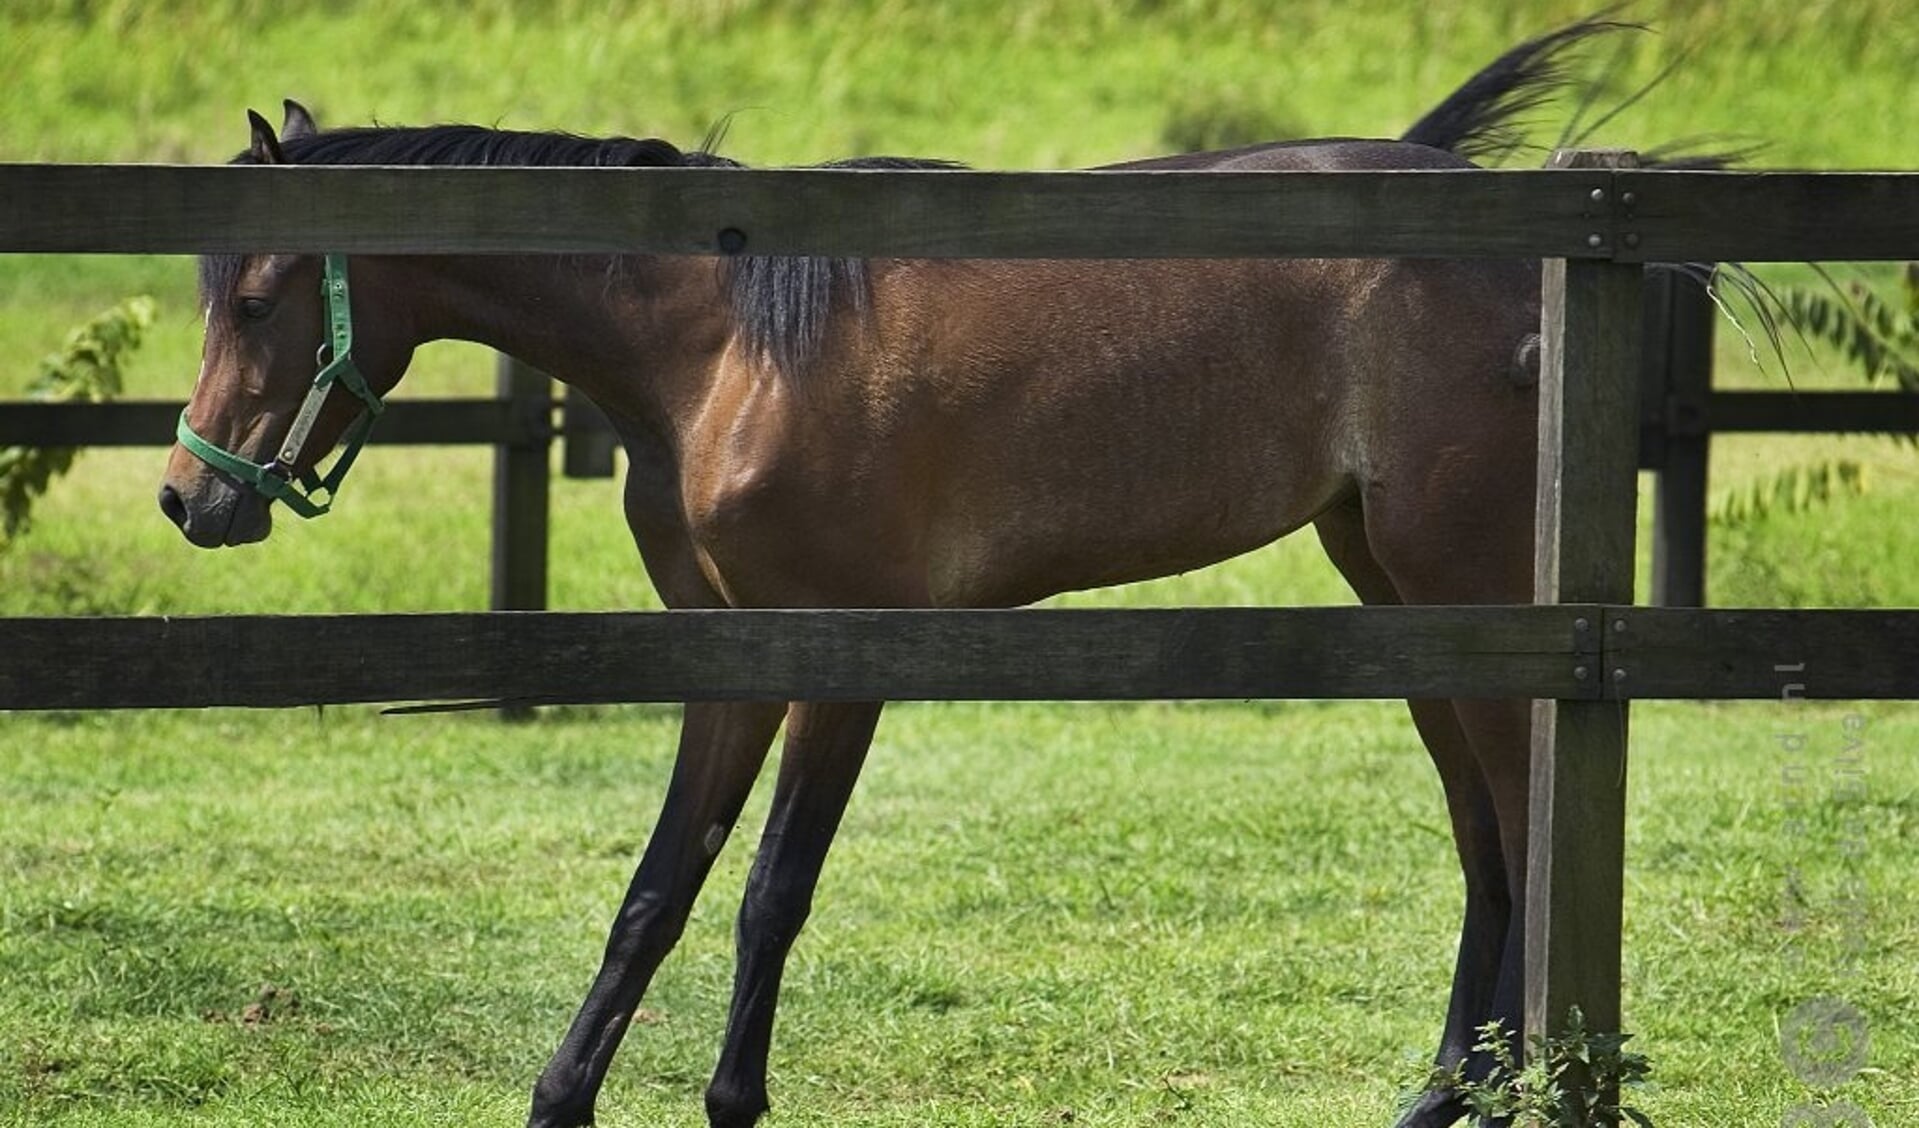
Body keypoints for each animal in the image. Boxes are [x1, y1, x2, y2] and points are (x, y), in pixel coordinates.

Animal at [165, 17, 1627, 1128]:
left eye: (256, 301)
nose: (189, 496)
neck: (726, 348)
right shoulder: (732, 668)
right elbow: (655, 893)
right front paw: (561, 1096)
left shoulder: (837, 663)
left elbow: (767, 895)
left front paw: (732, 1104)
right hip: (1400, 605)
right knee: (1485, 853)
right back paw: (1438, 1100)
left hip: (1472, 596)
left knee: (1522, 829)